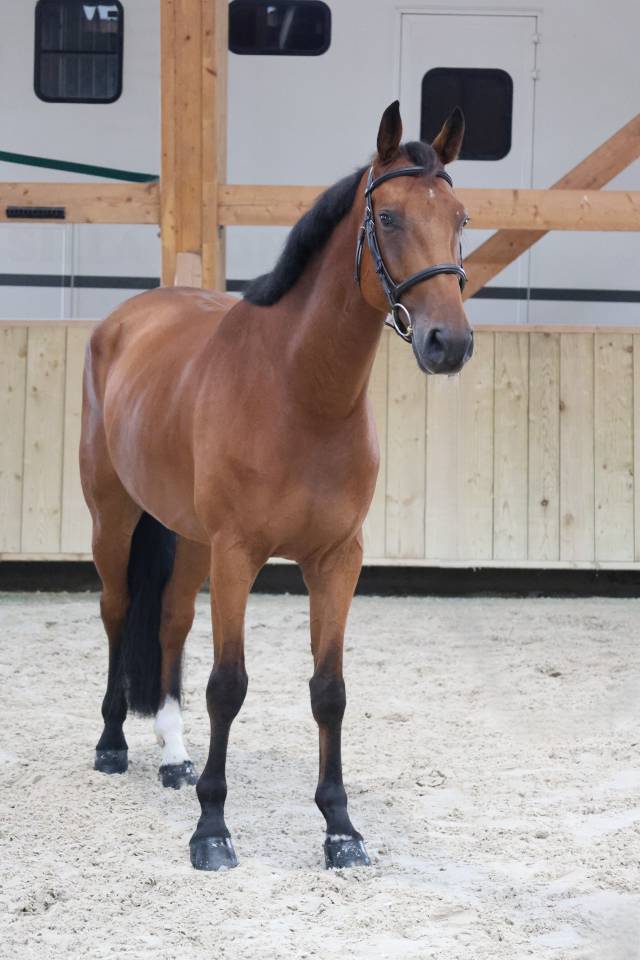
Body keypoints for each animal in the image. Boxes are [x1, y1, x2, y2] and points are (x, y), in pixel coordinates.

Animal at [80, 100, 473, 871]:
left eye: (460, 217)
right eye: (388, 218)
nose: (450, 343)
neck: (300, 391)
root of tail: (124, 320)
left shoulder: (337, 561)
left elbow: (330, 691)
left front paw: (341, 830)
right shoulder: (239, 556)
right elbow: (228, 686)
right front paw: (212, 831)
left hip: (188, 538)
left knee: (169, 622)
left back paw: (172, 756)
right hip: (114, 518)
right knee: (117, 611)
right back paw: (112, 745)